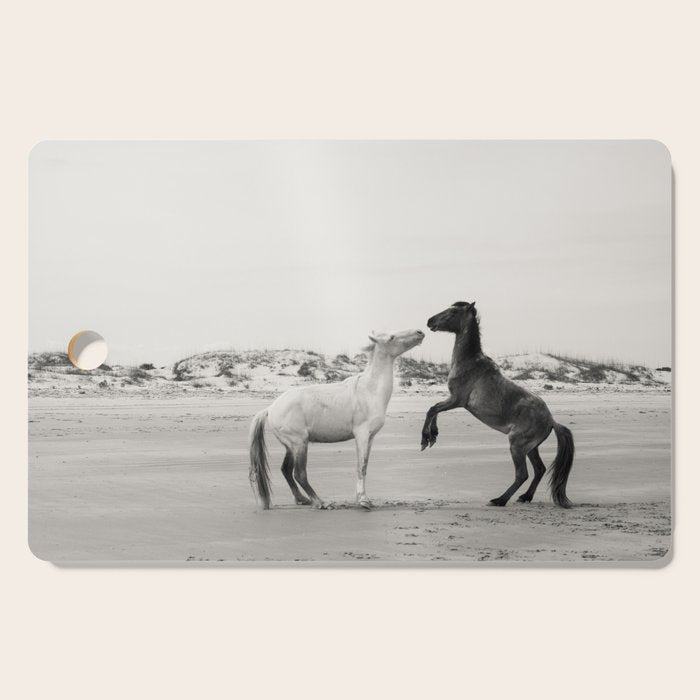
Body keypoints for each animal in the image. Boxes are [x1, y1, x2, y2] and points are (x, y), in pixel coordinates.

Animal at [249, 329, 425, 510]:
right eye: (392, 337)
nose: (419, 332)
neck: (369, 390)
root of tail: (270, 409)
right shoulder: (362, 435)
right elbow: (361, 467)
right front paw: (363, 500)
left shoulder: (370, 438)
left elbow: (364, 466)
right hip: (299, 443)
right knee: (299, 474)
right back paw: (320, 502)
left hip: (291, 446)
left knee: (286, 470)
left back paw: (302, 499)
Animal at [421, 302, 574, 508]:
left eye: (453, 311)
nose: (430, 321)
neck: (470, 362)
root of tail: (551, 421)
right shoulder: (452, 400)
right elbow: (435, 410)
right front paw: (434, 436)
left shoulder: (456, 400)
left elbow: (432, 409)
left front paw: (425, 439)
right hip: (530, 448)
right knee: (539, 469)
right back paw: (525, 497)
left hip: (517, 446)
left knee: (522, 474)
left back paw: (500, 500)